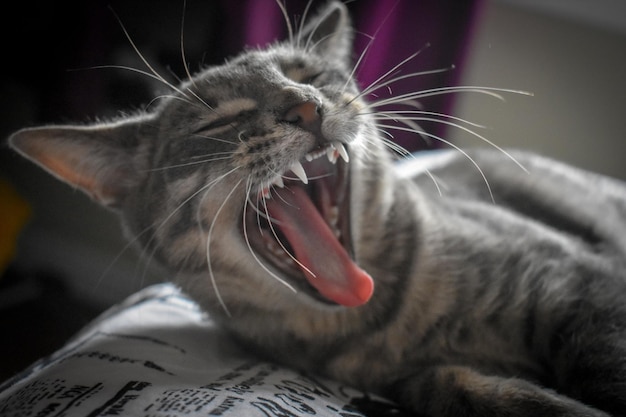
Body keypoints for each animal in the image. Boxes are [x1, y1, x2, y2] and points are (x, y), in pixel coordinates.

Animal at [8, 1, 624, 414]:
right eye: (216, 121)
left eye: (308, 75)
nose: (305, 107)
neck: (383, 321)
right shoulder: (412, 379)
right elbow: (466, 389)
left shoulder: (582, 285)